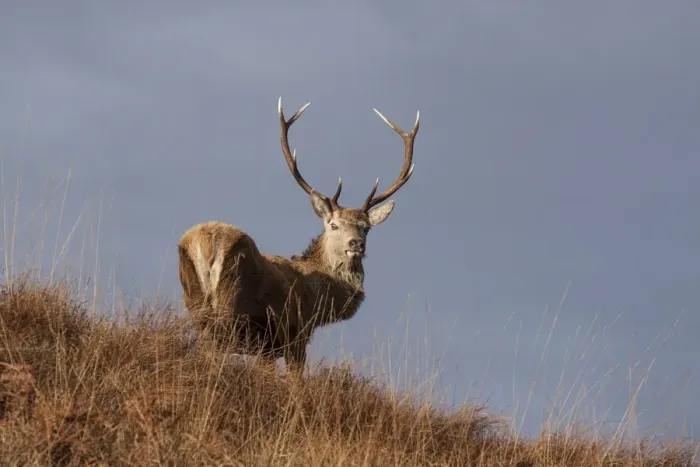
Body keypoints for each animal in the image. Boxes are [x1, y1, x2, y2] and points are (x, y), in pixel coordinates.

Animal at [177, 97, 420, 371]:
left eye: (366, 227)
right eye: (333, 225)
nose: (356, 243)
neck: (316, 299)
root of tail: (207, 244)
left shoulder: (267, 349)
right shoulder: (294, 333)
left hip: (195, 301)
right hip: (228, 304)